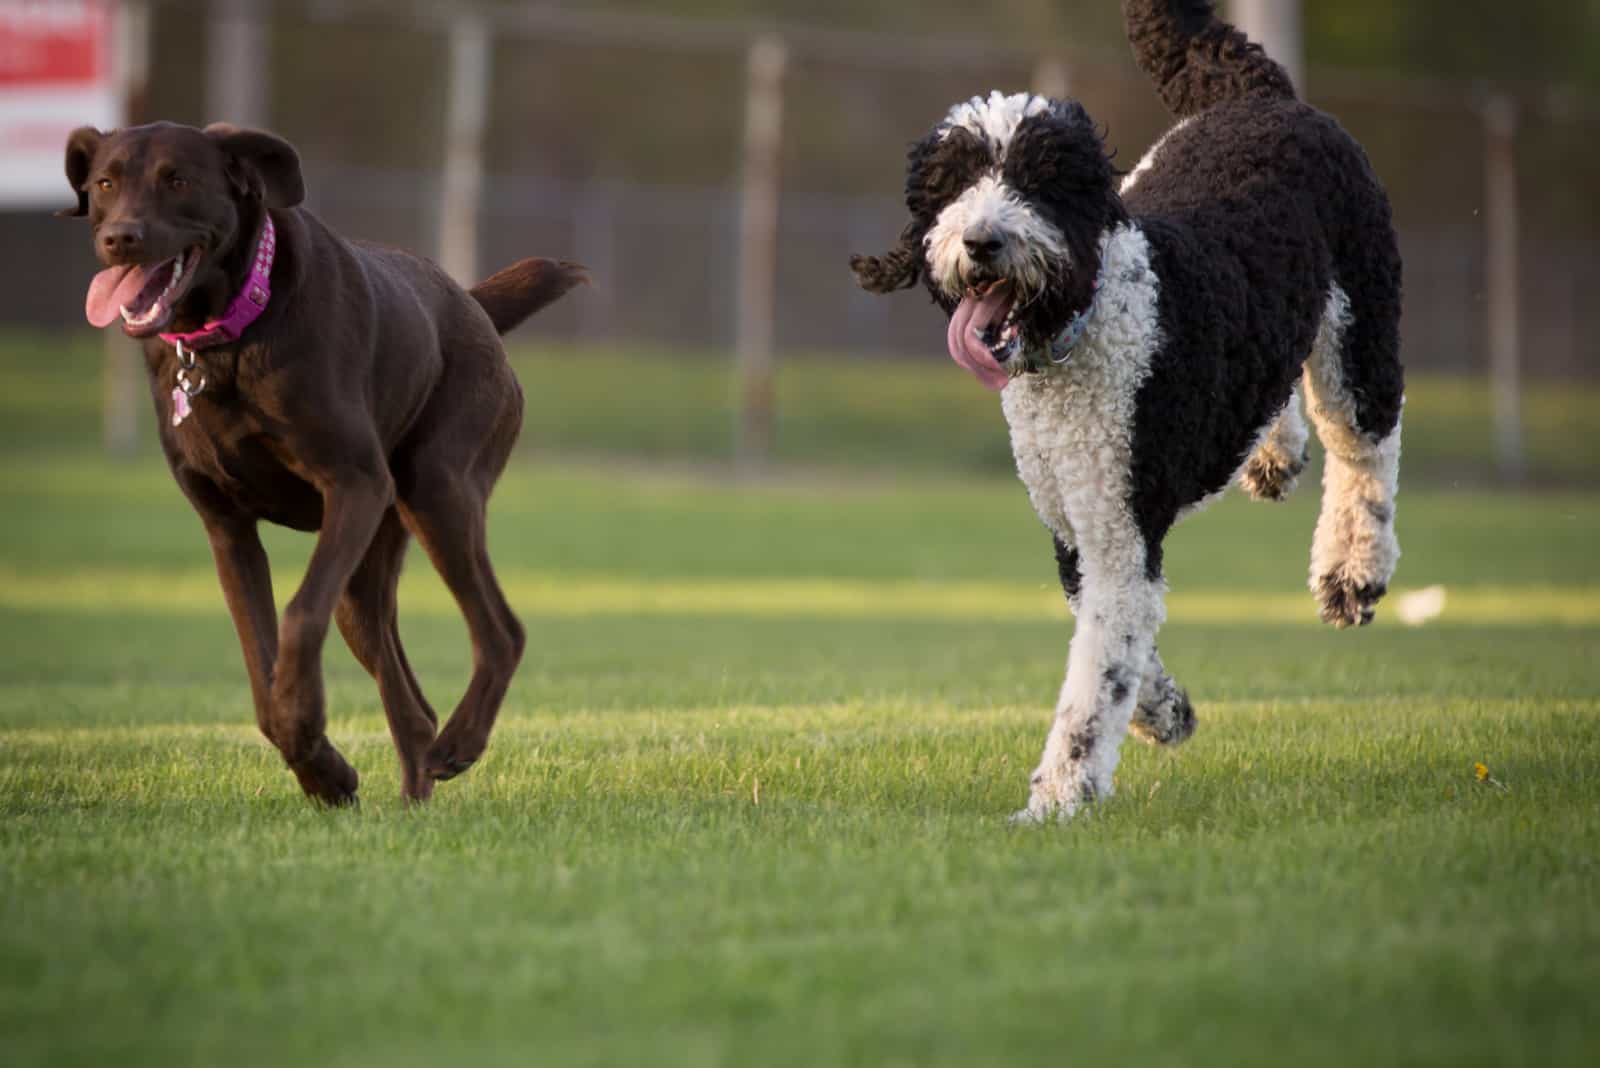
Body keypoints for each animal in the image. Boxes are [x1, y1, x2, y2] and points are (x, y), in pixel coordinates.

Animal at [65, 120, 588, 805]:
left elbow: (297, 616)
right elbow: (260, 665)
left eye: (178, 179)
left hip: (437, 491)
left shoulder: (354, 485)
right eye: (105, 183)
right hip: (369, 579)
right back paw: (415, 793)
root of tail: (472, 305)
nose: (119, 238)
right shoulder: (226, 528)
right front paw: (320, 767)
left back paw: (460, 743)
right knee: (409, 700)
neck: (229, 339)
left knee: (501, 633)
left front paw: (306, 728)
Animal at [851, 0, 1401, 824]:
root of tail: (1261, 98)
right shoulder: (1073, 528)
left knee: (1366, 447)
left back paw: (1351, 569)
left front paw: (1057, 798)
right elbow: (1117, 643)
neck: (1082, 329)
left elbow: (1094, 684)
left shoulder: (1116, 526)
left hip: (1361, 325)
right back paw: (1274, 453)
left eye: (1038, 182)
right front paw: (1166, 711)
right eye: (952, 183)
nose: (981, 240)